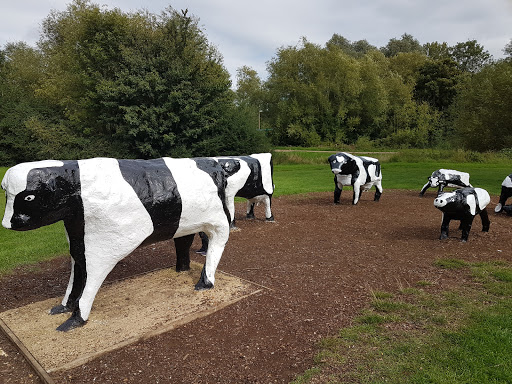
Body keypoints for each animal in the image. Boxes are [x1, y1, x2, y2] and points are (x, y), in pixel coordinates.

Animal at [1, 158, 237, 332]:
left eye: (29, 197)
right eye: (5, 193)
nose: (6, 223)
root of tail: (215, 164)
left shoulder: (104, 248)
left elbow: (90, 280)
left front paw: (77, 318)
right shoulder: (79, 243)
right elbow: (77, 274)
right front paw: (63, 307)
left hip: (219, 220)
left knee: (217, 244)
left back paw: (205, 281)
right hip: (185, 222)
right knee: (183, 241)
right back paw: (182, 269)